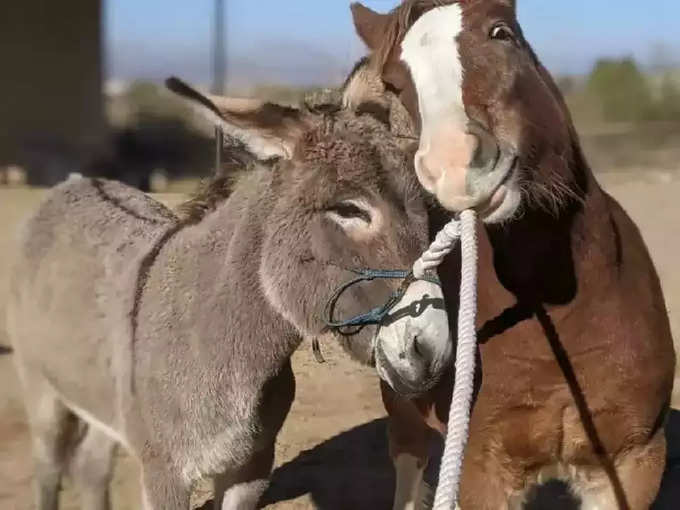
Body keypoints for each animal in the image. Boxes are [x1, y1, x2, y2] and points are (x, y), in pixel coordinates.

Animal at [5, 76, 454, 510]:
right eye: (348, 209)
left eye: (428, 210)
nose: (431, 352)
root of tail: (75, 182)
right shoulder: (164, 474)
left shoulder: (251, 468)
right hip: (40, 388)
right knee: (49, 470)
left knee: (91, 466)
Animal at [348, 0, 676, 510]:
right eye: (398, 83)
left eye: (502, 33)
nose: (455, 164)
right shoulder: (483, 470)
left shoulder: (634, 460)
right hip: (402, 406)